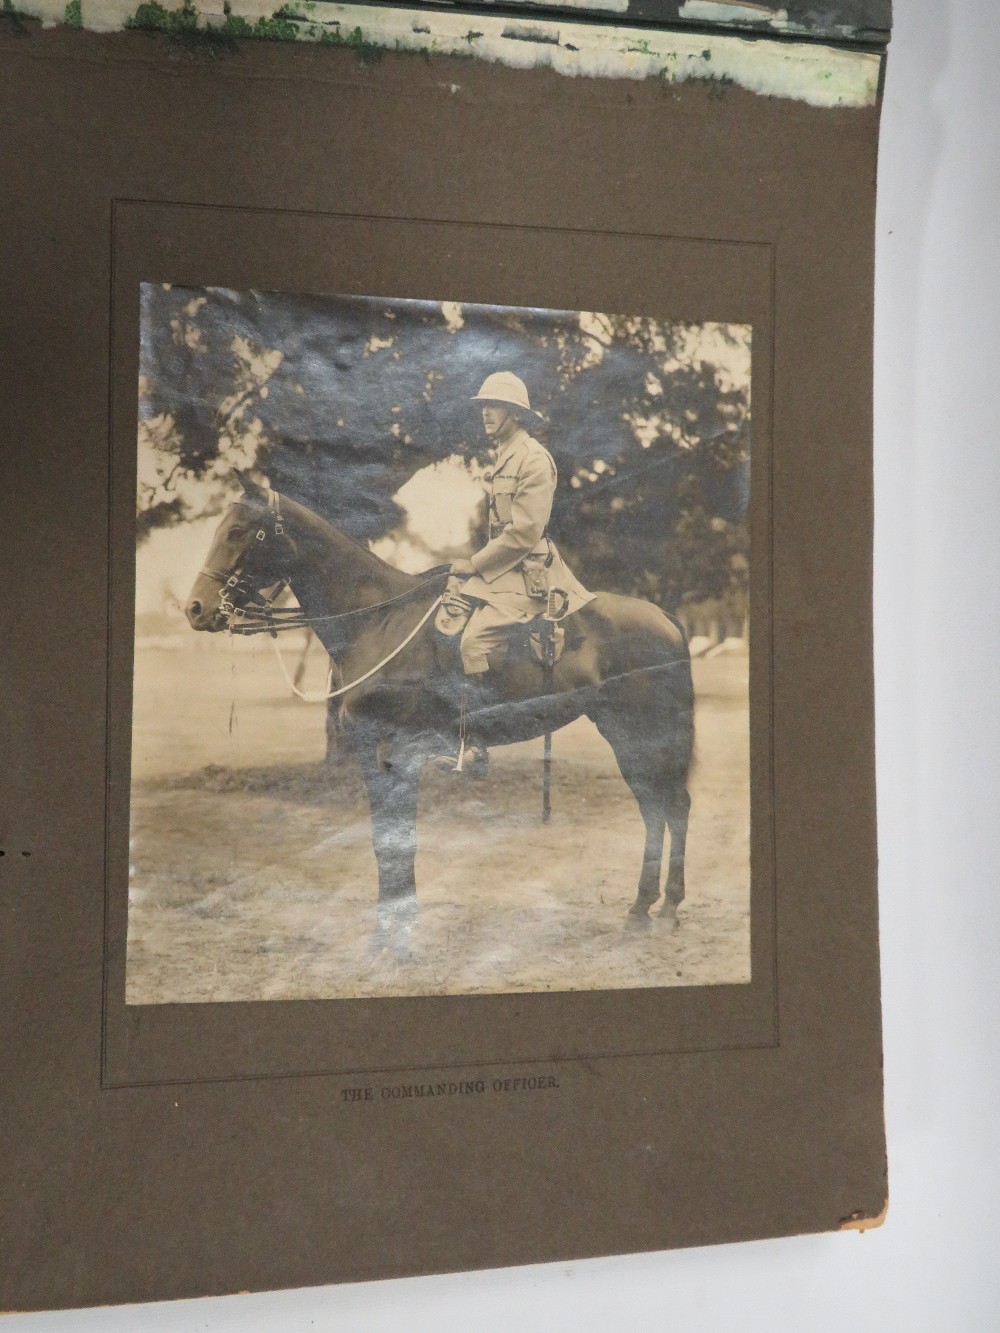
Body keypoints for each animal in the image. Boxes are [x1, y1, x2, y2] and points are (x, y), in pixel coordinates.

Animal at [184, 474, 693, 943]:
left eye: (238, 531)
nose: (195, 608)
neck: (378, 620)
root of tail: (664, 617)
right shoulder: (371, 755)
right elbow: (383, 839)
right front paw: (390, 921)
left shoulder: (402, 751)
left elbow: (399, 840)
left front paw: (398, 929)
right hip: (623, 733)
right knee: (655, 808)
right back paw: (644, 907)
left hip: (643, 733)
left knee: (672, 806)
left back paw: (666, 907)